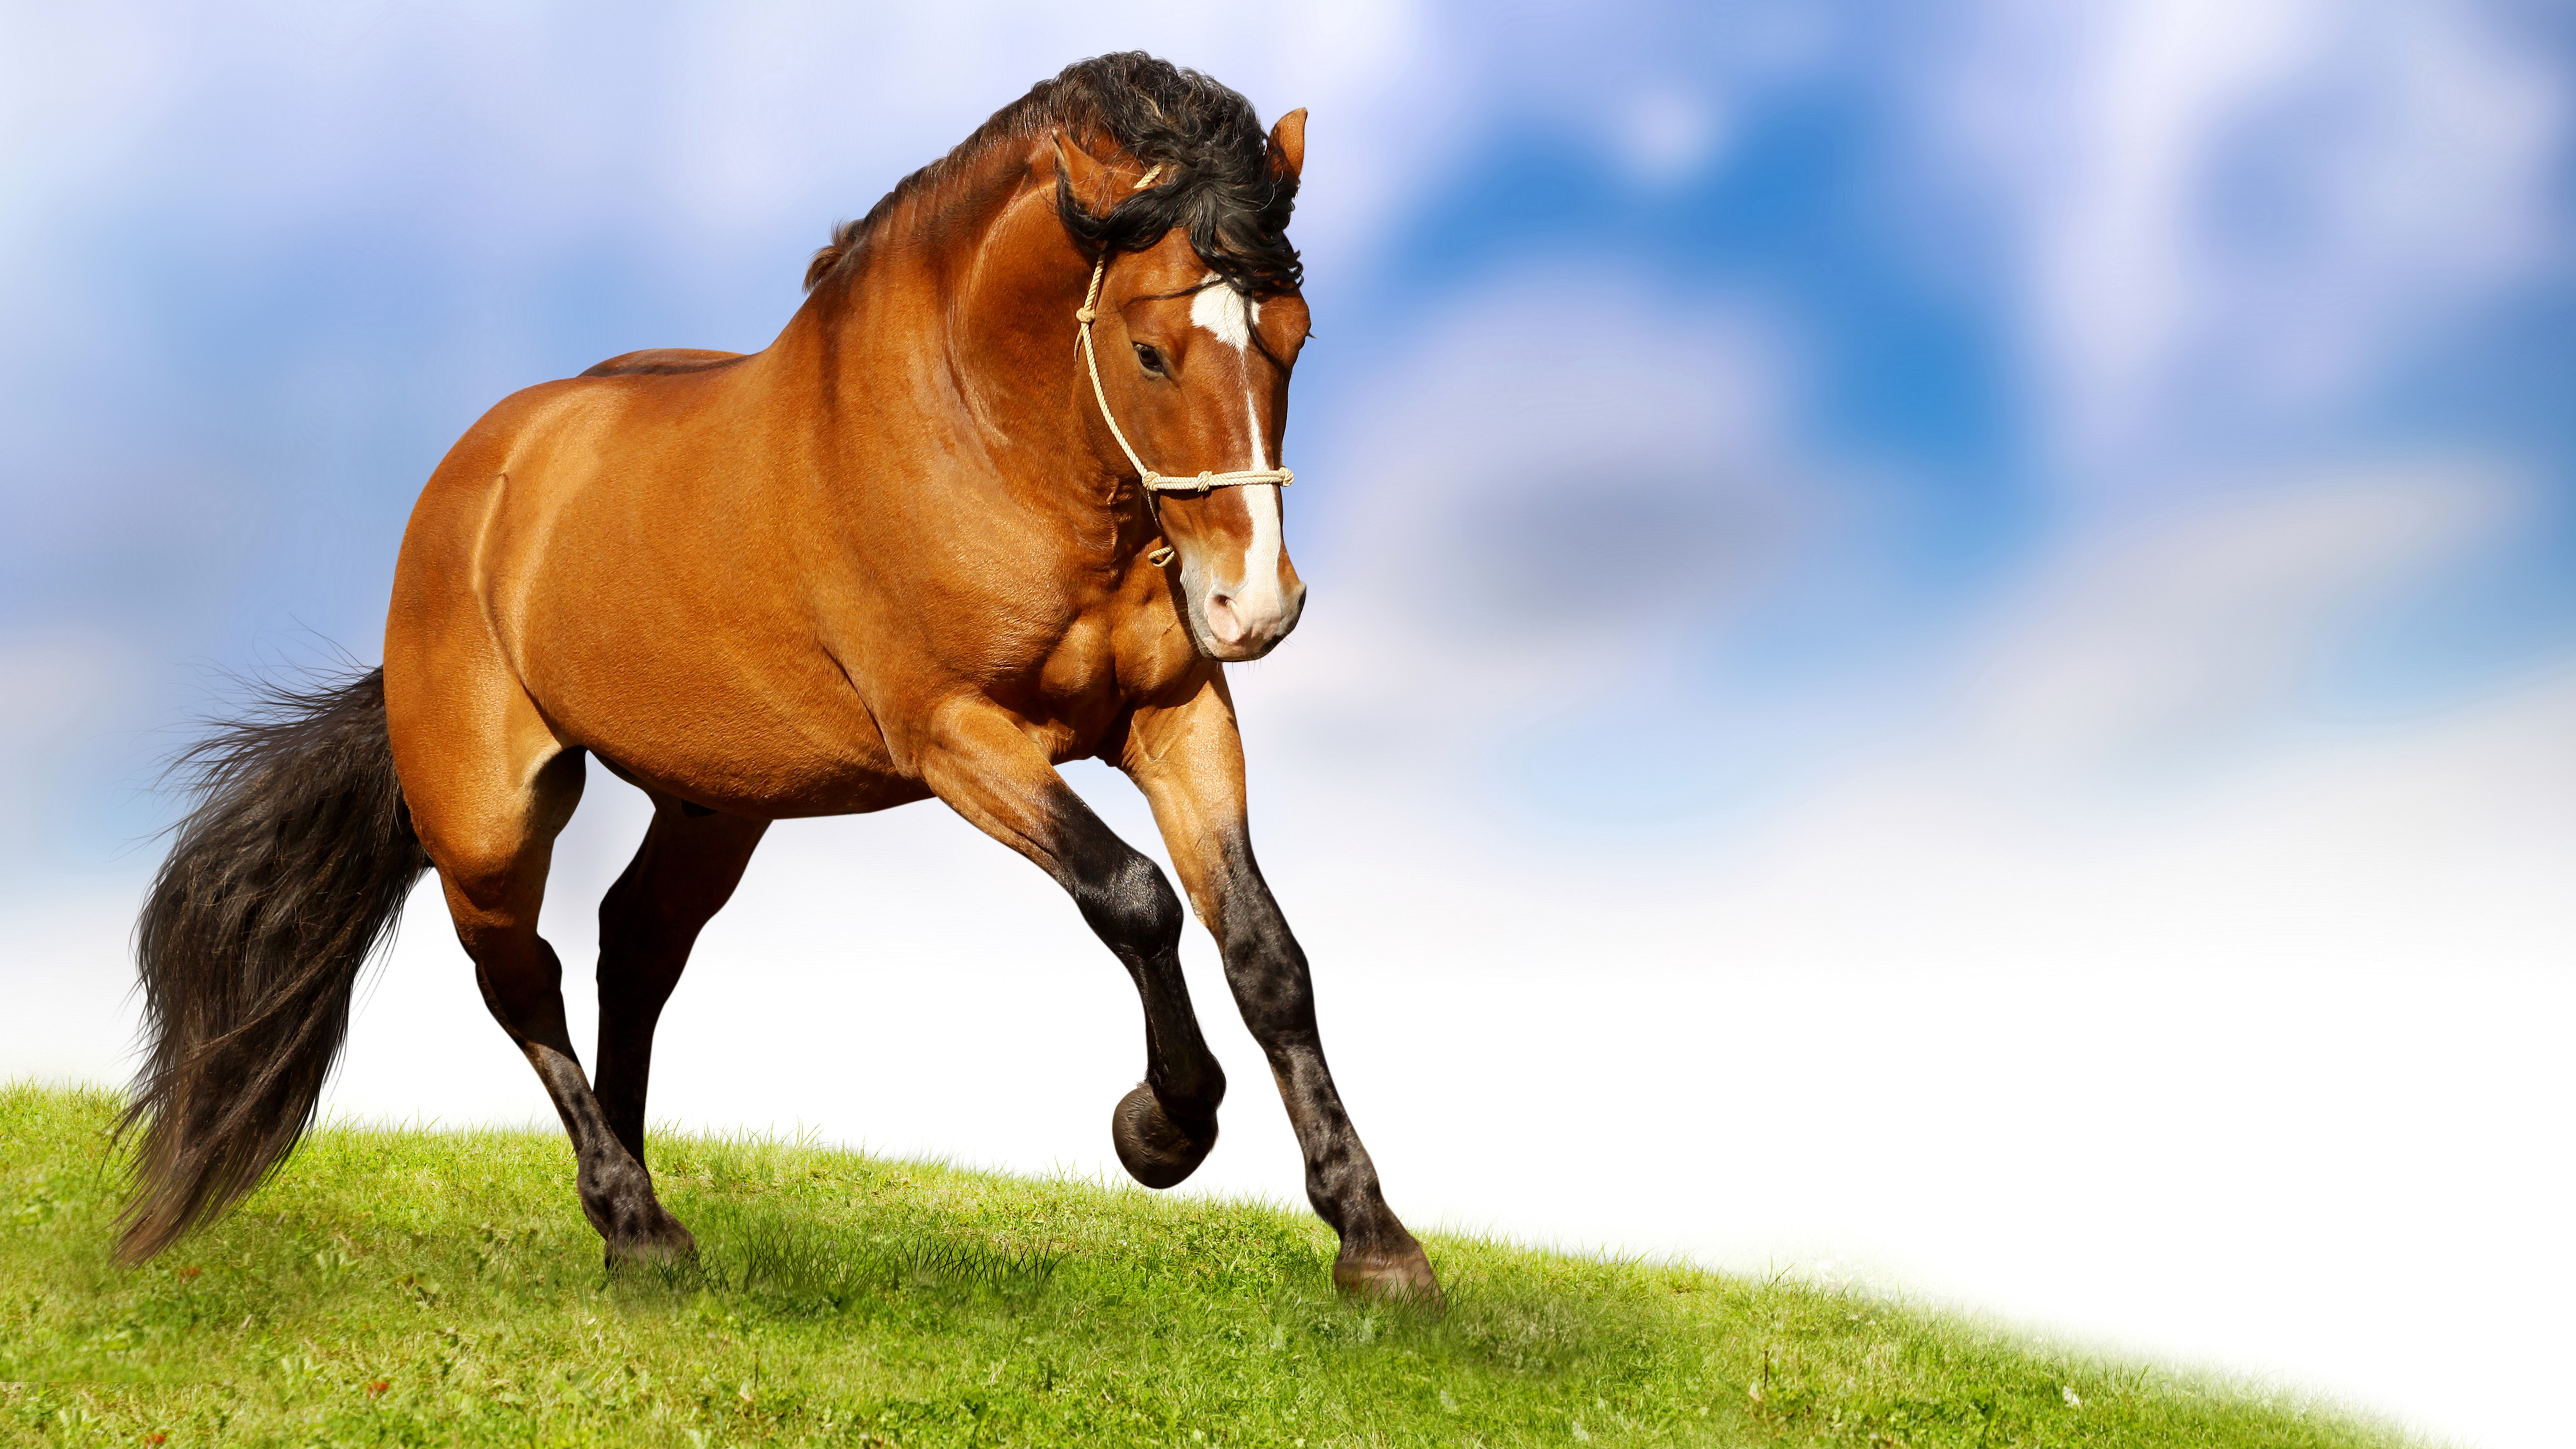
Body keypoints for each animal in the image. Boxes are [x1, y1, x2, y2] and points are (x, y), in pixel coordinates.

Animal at [117, 52, 1440, 1304]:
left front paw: (1377, 1245)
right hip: (489, 813)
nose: (1255, 605)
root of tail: (474, 480)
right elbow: (1133, 896)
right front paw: (1161, 1126)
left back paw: (629, 1212)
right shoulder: (958, 736)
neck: (988, 441)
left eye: (1294, 336)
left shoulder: (1176, 716)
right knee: (520, 978)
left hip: (715, 801)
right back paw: (637, 1223)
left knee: (635, 946)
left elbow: (1265, 951)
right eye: (1153, 350)